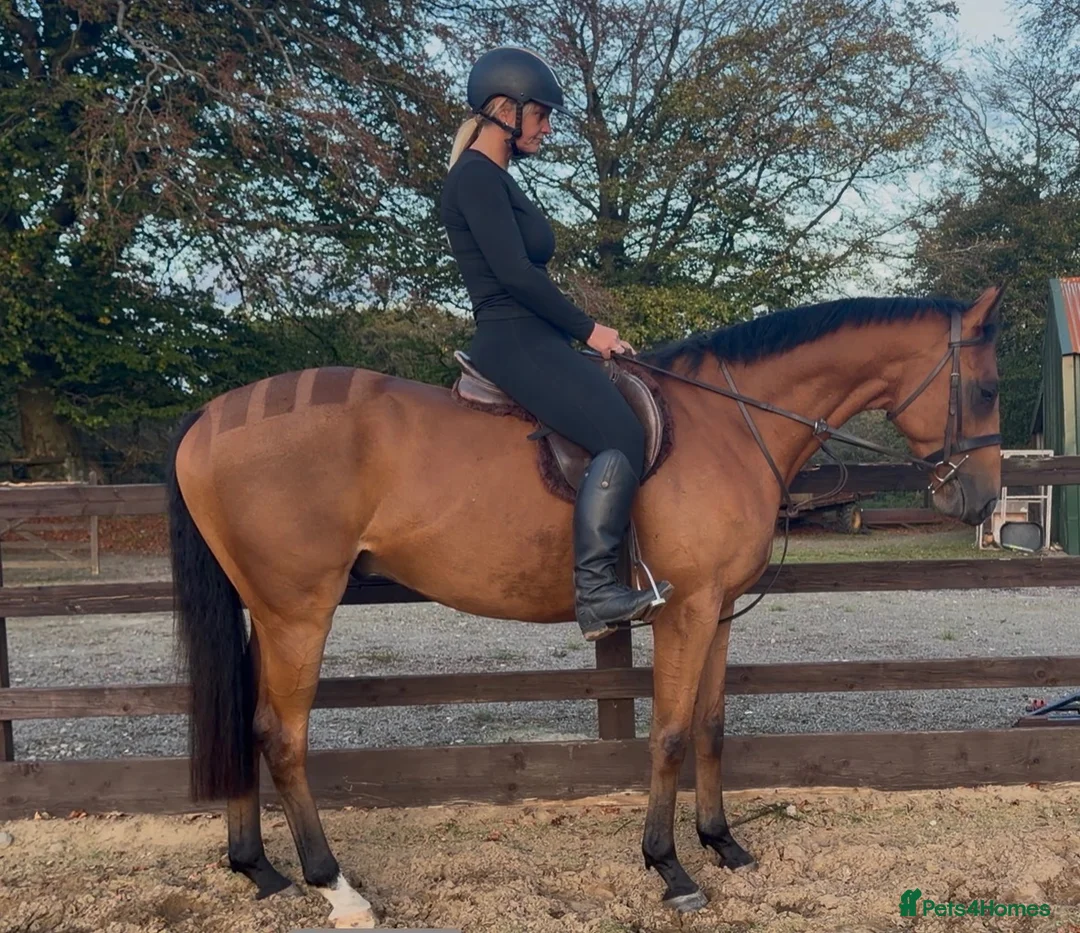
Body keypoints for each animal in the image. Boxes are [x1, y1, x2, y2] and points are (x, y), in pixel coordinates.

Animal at [165, 285, 1004, 927]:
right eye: (989, 387)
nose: (981, 499)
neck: (730, 424)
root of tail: (207, 417)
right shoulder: (686, 609)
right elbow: (669, 733)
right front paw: (669, 866)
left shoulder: (719, 608)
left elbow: (711, 726)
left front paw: (723, 842)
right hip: (298, 611)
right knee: (281, 735)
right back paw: (335, 886)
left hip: (265, 610)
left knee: (243, 720)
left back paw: (257, 868)